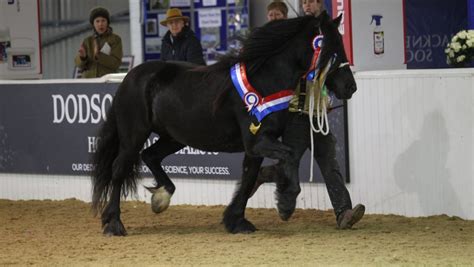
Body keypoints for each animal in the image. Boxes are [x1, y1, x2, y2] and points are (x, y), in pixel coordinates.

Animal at [90, 11, 356, 236]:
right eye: (332, 49)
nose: (350, 87)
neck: (265, 80)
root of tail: (129, 78)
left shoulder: (256, 146)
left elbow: (249, 178)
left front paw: (236, 220)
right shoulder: (257, 142)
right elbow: (287, 156)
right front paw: (285, 202)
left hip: (174, 137)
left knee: (151, 156)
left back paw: (161, 198)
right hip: (133, 135)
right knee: (118, 169)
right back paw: (114, 223)